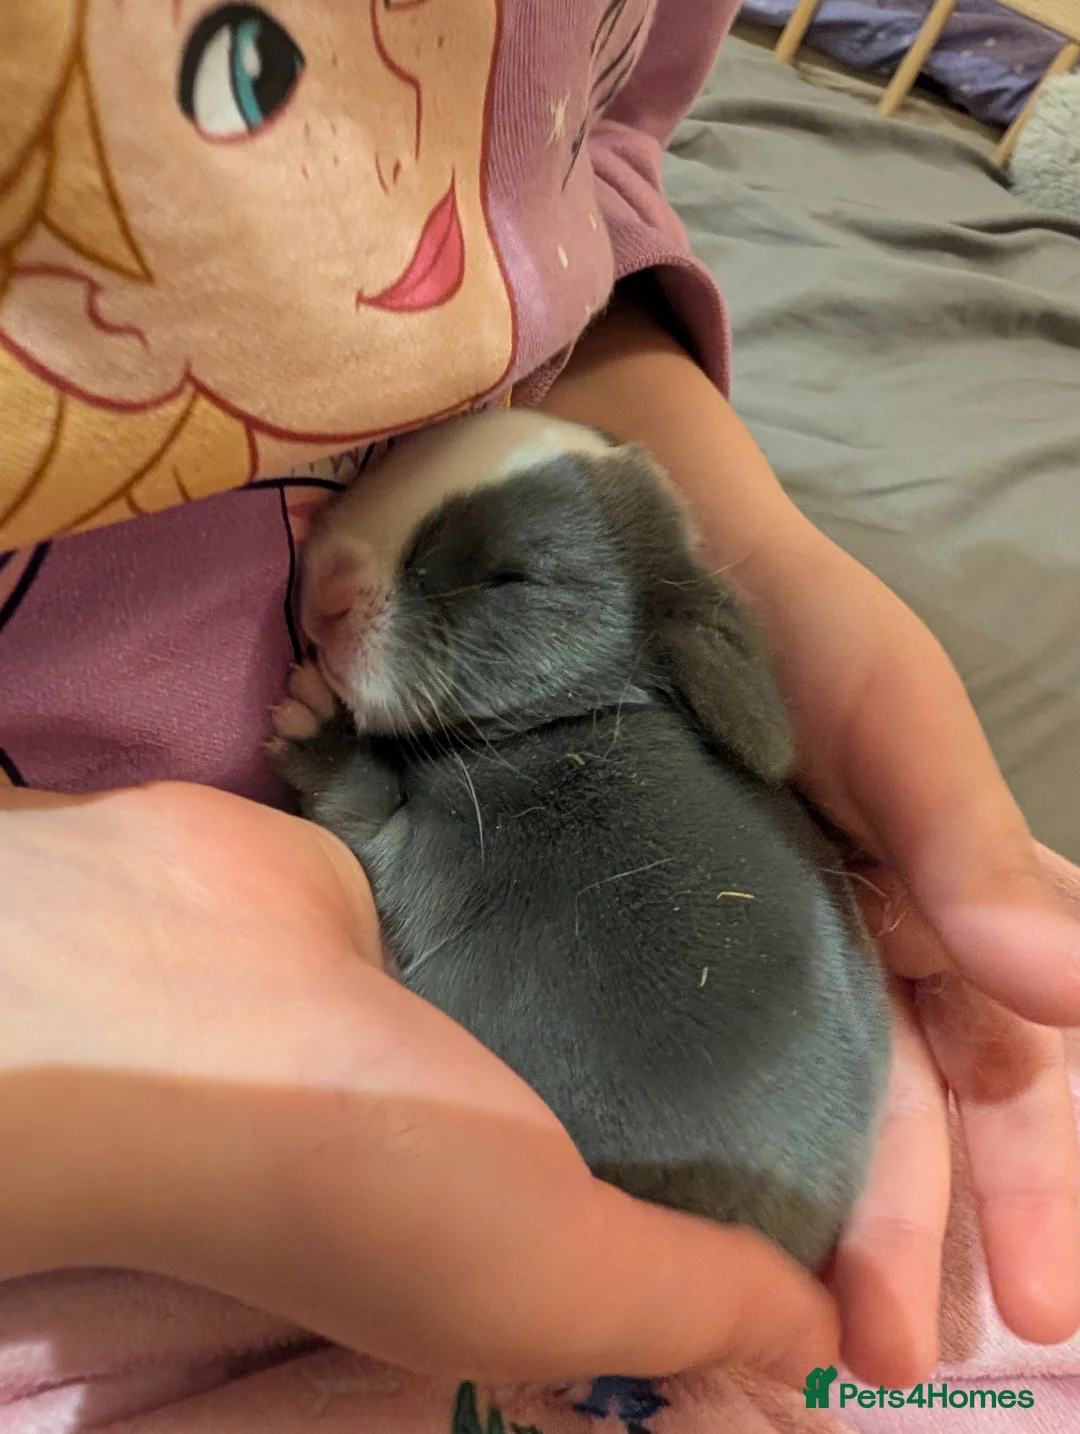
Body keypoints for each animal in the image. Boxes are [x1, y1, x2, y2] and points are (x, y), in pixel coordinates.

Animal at [269, 407, 890, 1270]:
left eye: (510, 578)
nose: (325, 592)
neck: (569, 724)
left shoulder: (438, 853)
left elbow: (364, 811)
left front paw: (310, 720)